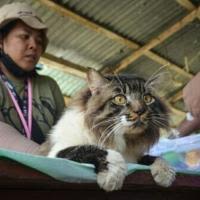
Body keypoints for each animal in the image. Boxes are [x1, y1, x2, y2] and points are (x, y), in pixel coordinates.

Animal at [44, 69, 175, 191]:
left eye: (147, 98)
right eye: (120, 99)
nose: (140, 111)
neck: (119, 138)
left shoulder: (134, 158)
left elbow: (155, 157)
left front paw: (166, 174)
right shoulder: (57, 152)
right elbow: (98, 150)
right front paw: (113, 177)